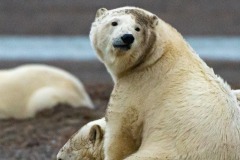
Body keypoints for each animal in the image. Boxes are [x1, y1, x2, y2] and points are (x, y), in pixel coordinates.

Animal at [90, 6, 240, 160]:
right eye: (114, 22)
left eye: (137, 28)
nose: (127, 37)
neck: (158, 52)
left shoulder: (138, 84)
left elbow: (122, 131)